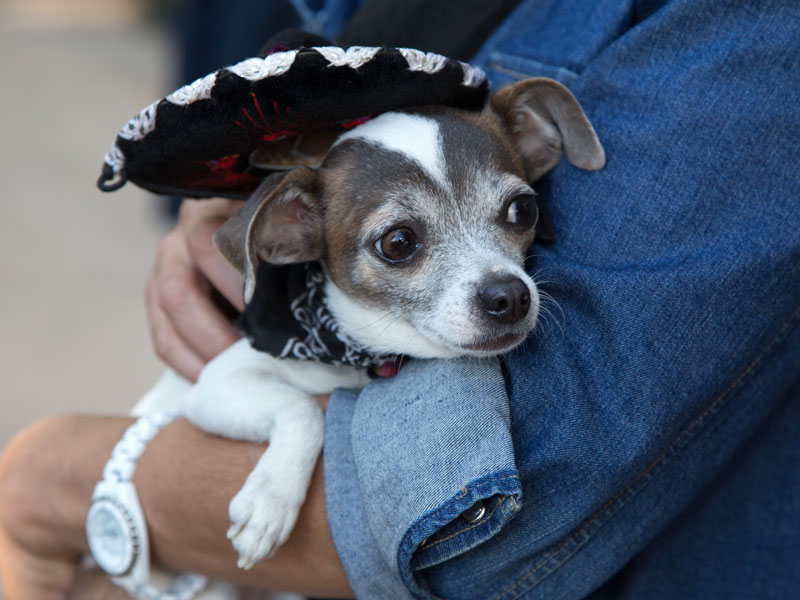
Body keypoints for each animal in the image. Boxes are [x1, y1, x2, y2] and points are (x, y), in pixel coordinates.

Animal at [134, 75, 604, 576]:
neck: (357, 352)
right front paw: (270, 501)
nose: (510, 296)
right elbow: (303, 407)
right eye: (398, 243)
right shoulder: (215, 383)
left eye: (522, 210)